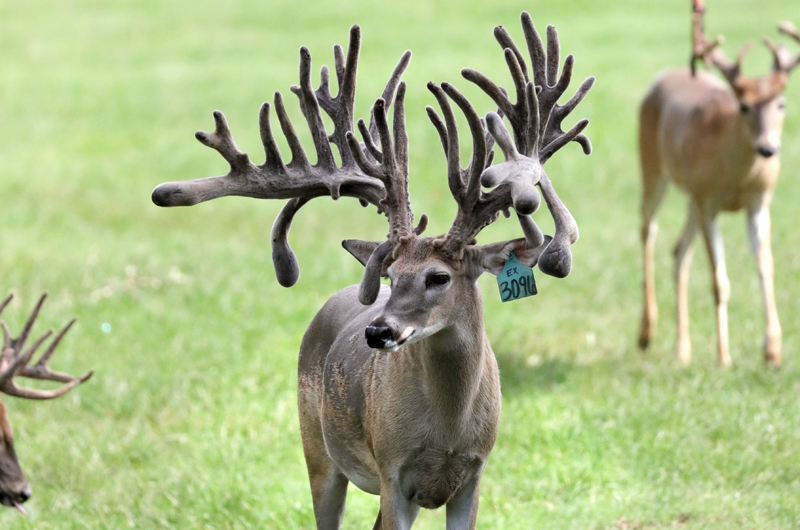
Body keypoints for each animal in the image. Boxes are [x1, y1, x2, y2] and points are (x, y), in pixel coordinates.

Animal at [150, 12, 592, 528]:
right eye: (390, 275)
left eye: (439, 277)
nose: (378, 332)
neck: (447, 431)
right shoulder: (391, 472)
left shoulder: (474, 475)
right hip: (317, 448)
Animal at [636, 0, 796, 368]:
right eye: (745, 105)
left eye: (781, 103)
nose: (768, 148)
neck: (737, 177)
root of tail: (662, 77)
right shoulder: (708, 202)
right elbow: (719, 282)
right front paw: (724, 356)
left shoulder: (758, 203)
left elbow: (766, 267)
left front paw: (772, 351)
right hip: (653, 168)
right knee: (648, 230)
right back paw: (646, 332)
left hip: (691, 199)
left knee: (679, 252)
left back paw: (682, 349)